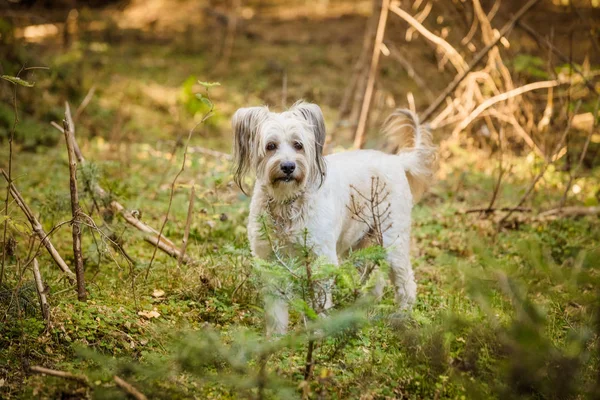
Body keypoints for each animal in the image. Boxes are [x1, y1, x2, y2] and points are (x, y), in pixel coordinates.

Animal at [231, 101, 436, 334]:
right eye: (270, 146)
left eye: (298, 145)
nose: (288, 166)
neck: (287, 203)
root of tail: (397, 161)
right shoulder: (270, 262)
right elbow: (276, 310)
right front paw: (276, 337)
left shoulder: (321, 258)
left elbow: (318, 302)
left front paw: (318, 334)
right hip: (361, 245)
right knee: (374, 280)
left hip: (393, 241)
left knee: (405, 281)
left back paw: (403, 315)